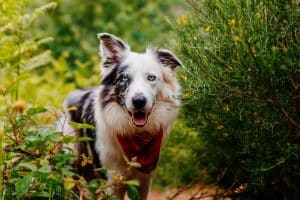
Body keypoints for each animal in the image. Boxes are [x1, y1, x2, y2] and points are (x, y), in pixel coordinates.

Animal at [56, 33, 183, 199]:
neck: (136, 134)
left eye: (151, 78)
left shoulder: (144, 181)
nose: (139, 101)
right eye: (124, 78)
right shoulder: (113, 181)